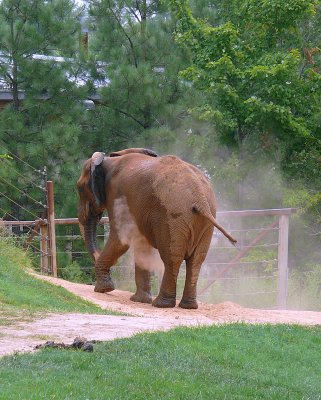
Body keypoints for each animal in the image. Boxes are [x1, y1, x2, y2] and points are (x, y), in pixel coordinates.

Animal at [76, 148, 234, 310]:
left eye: (80, 188)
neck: (107, 160)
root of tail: (200, 198)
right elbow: (141, 244)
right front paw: (139, 300)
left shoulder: (117, 195)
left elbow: (120, 239)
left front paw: (103, 290)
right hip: (205, 219)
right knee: (196, 260)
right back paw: (187, 306)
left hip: (172, 215)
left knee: (172, 258)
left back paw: (161, 304)